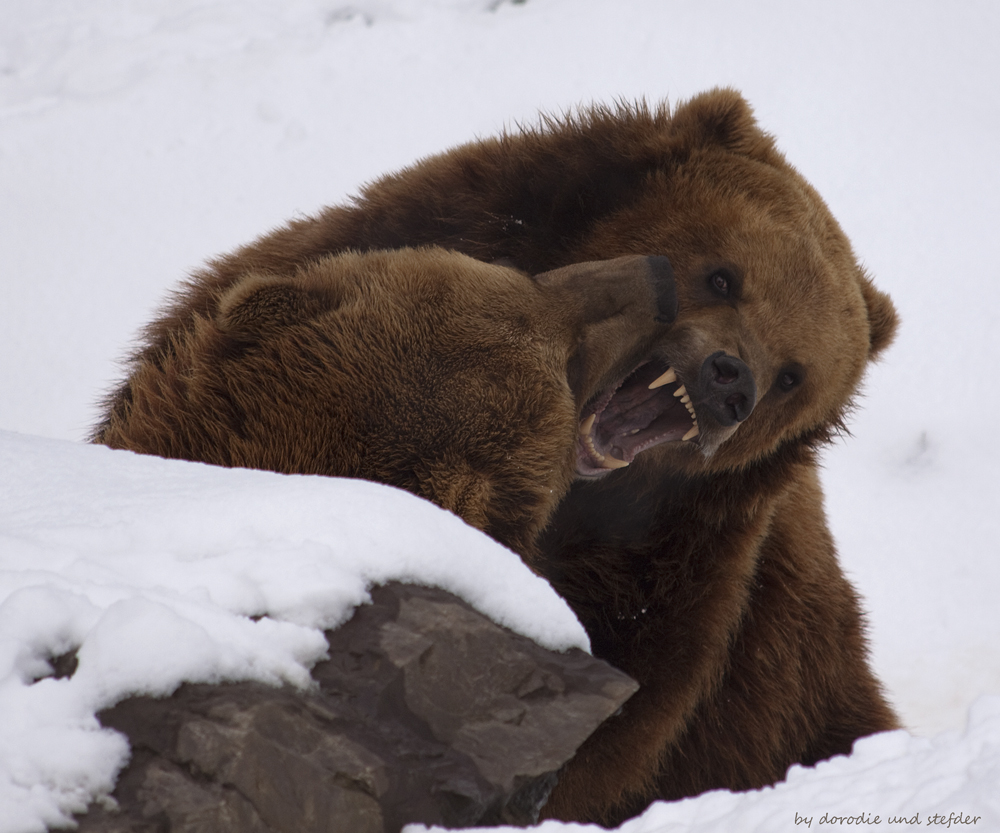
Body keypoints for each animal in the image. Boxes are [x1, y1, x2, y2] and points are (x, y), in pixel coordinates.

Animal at [94, 88, 900, 828]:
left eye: (795, 375)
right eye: (725, 275)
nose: (730, 381)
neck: (579, 516)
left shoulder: (686, 579)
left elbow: (618, 719)